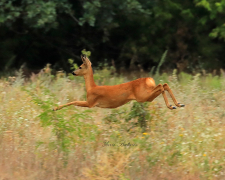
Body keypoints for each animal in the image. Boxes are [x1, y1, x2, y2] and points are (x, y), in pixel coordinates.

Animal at [53, 54, 185, 111]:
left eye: (80, 66)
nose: (73, 72)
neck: (91, 88)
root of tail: (149, 79)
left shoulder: (91, 102)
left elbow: (74, 101)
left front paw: (55, 108)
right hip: (147, 97)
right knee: (164, 84)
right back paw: (178, 104)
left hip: (142, 96)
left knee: (161, 85)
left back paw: (171, 106)